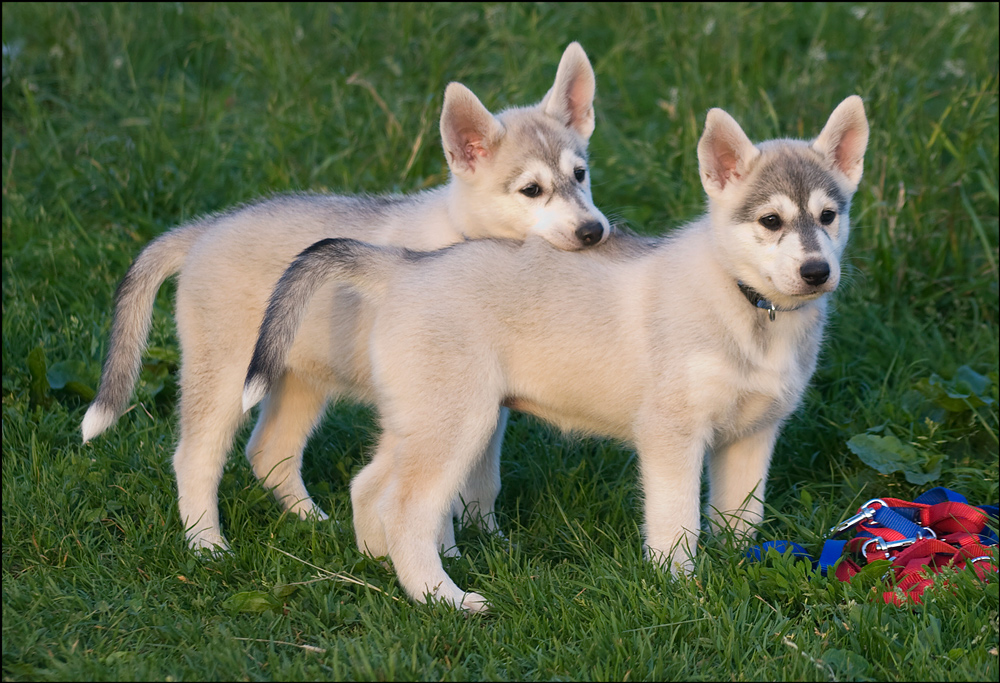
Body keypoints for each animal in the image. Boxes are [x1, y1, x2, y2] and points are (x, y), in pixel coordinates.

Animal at [82, 42, 608, 552]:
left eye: (580, 174)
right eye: (531, 190)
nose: (594, 231)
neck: (467, 236)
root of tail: (204, 230)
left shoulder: (485, 404)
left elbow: (481, 480)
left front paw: (492, 539)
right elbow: (436, 494)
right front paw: (447, 554)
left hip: (300, 377)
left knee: (269, 451)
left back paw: (315, 522)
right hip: (224, 375)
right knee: (195, 458)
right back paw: (206, 544)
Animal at [244, 95, 868, 608]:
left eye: (828, 216)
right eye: (771, 220)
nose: (818, 272)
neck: (749, 308)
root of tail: (403, 265)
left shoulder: (753, 435)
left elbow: (741, 518)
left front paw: (739, 570)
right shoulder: (672, 434)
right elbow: (677, 524)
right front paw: (682, 588)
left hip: (419, 418)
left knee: (370, 487)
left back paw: (382, 567)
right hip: (459, 422)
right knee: (406, 508)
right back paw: (442, 598)